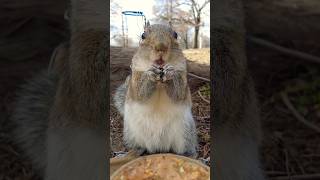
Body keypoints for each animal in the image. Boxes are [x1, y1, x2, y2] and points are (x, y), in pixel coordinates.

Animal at [112, 23, 198, 157]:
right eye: (143, 35)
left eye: (175, 35)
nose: (161, 47)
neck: (160, 82)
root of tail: (158, 147)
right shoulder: (135, 78)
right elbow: (139, 94)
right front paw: (149, 75)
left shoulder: (182, 74)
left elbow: (179, 94)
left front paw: (171, 73)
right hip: (131, 134)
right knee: (138, 146)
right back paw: (132, 152)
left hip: (186, 133)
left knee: (183, 149)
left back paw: (190, 154)